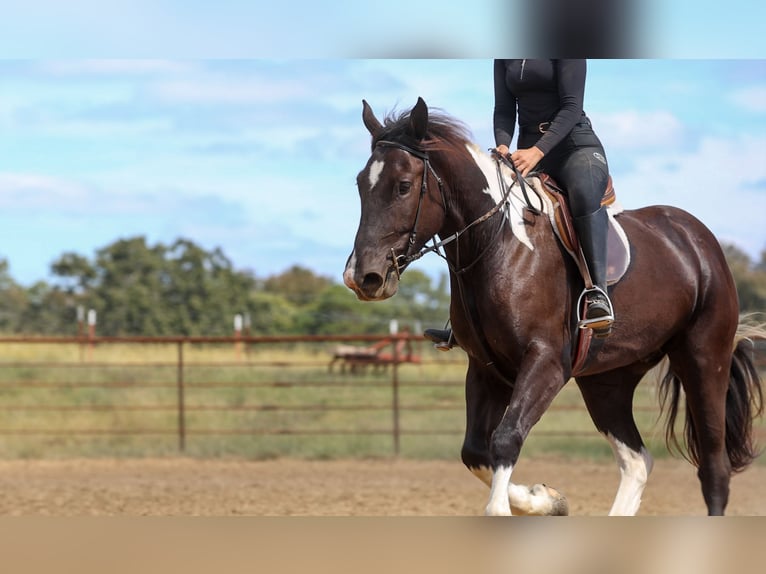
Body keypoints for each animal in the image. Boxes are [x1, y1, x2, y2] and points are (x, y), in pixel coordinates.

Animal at [343, 97, 765, 516]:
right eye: (361, 185)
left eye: (403, 186)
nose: (363, 277)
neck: (497, 244)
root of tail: (697, 240)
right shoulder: (485, 369)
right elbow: (475, 451)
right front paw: (548, 500)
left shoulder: (545, 362)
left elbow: (505, 439)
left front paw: (528, 502)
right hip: (607, 380)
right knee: (636, 461)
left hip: (702, 359)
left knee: (713, 466)